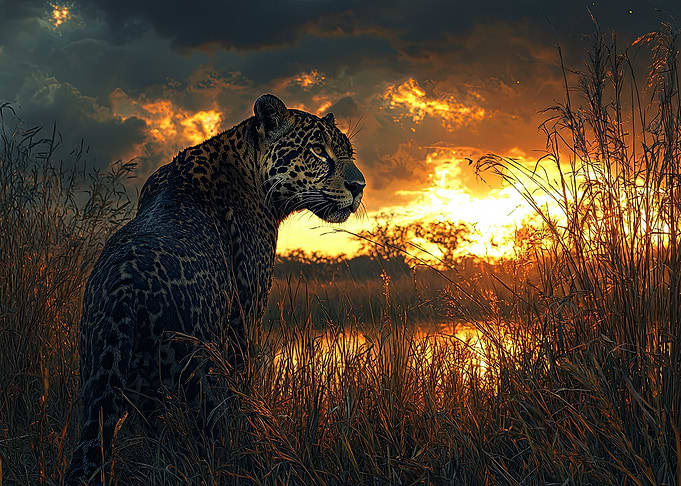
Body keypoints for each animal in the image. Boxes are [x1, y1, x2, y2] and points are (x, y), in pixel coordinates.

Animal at [64, 94, 365, 485]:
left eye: (348, 152)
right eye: (318, 150)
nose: (360, 186)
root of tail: (123, 289)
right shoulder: (244, 317)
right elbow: (243, 382)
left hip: (100, 383)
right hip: (198, 371)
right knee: (210, 439)